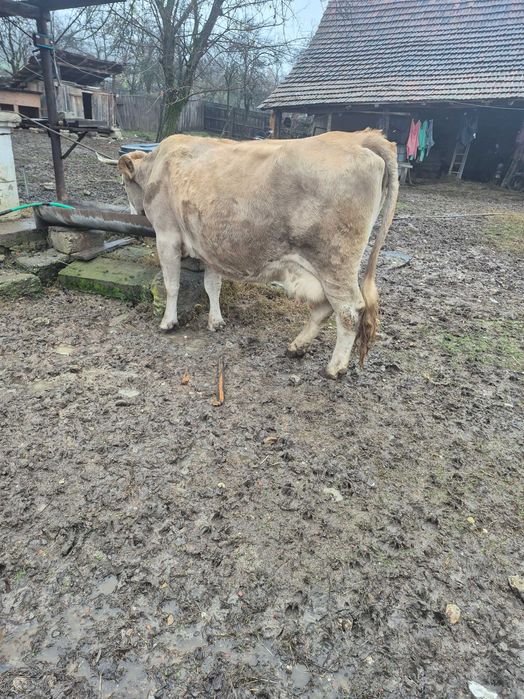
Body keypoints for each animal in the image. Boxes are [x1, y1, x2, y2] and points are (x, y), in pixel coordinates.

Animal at [114, 130, 398, 378]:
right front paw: (216, 321)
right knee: (325, 307)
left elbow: (172, 284)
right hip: (322, 269)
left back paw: (334, 367)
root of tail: (360, 137)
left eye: (125, 184)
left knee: (349, 310)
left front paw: (168, 322)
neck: (158, 166)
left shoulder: (167, 235)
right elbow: (212, 285)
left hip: (335, 262)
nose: (133, 211)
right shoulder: (210, 245)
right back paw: (297, 346)